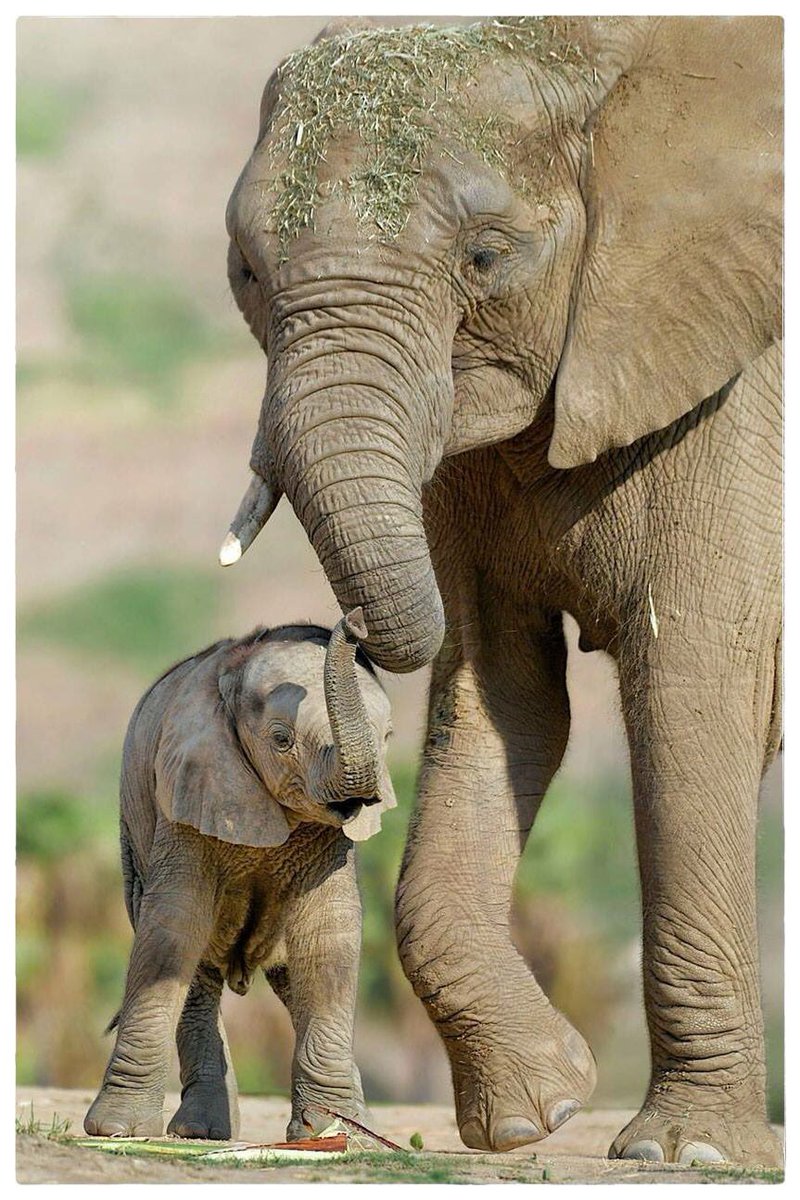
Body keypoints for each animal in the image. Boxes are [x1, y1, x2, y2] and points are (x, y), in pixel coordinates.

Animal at [84, 610, 395, 1141]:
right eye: (281, 739)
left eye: (389, 738)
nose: (355, 622)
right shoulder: (187, 785)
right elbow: (174, 922)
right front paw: (115, 1131)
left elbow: (328, 932)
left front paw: (332, 1134)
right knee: (196, 967)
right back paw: (199, 1133)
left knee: (290, 977)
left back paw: (360, 1128)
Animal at [219, 17, 782, 1167]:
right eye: (246, 269)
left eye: (485, 257)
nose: (334, 634)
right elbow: (497, 691)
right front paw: (533, 1114)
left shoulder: (729, 395)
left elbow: (692, 682)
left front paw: (686, 1155)